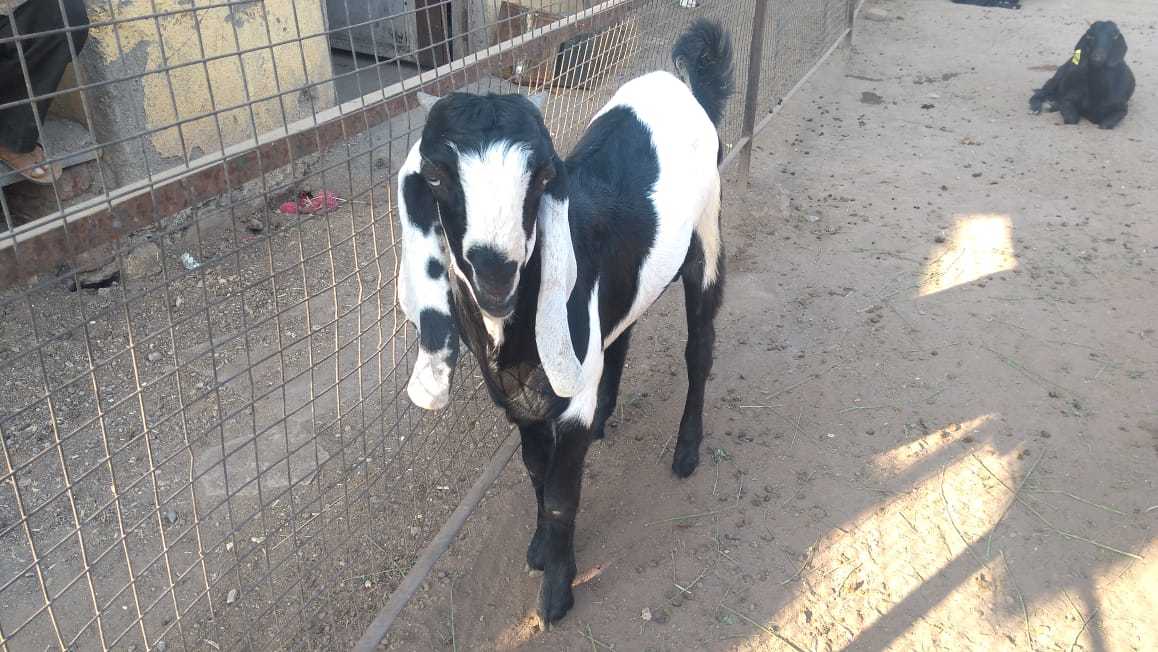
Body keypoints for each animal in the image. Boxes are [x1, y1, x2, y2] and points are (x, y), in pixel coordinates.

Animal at [395, 19, 733, 622]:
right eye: (434, 175)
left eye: (542, 175)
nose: (495, 272)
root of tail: (687, 88)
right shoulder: (517, 399)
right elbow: (536, 469)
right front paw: (538, 549)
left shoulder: (565, 402)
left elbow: (560, 495)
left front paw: (557, 590)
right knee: (622, 335)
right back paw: (608, 416)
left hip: (709, 237)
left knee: (700, 348)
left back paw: (687, 450)